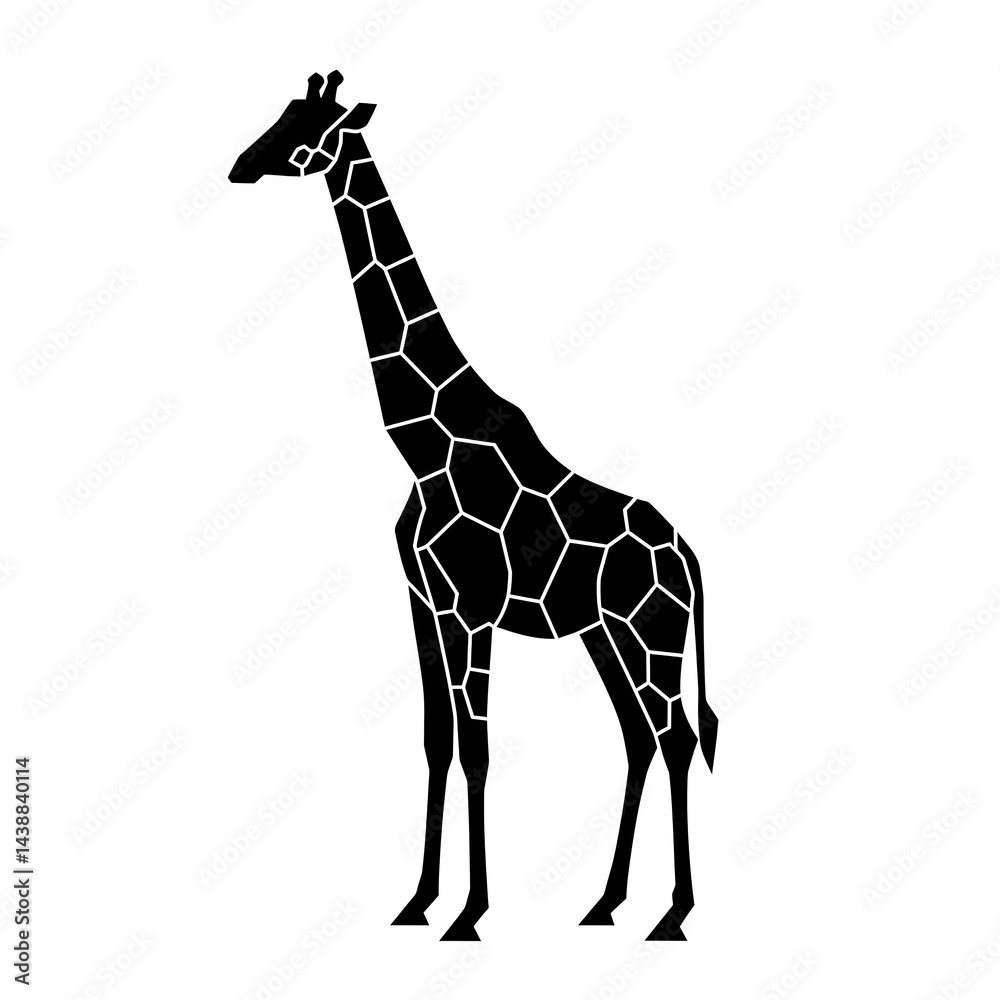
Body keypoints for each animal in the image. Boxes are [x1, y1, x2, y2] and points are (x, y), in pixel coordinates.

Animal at [229, 71, 718, 943]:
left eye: (308, 128)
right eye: (282, 113)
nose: (239, 166)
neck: (422, 445)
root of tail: (688, 554)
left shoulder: (473, 608)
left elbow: (479, 749)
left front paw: (471, 911)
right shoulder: (424, 604)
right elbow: (436, 742)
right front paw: (418, 901)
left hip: (653, 634)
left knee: (677, 736)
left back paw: (673, 912)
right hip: (605, 635)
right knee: (638, 738)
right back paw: (605, 904)